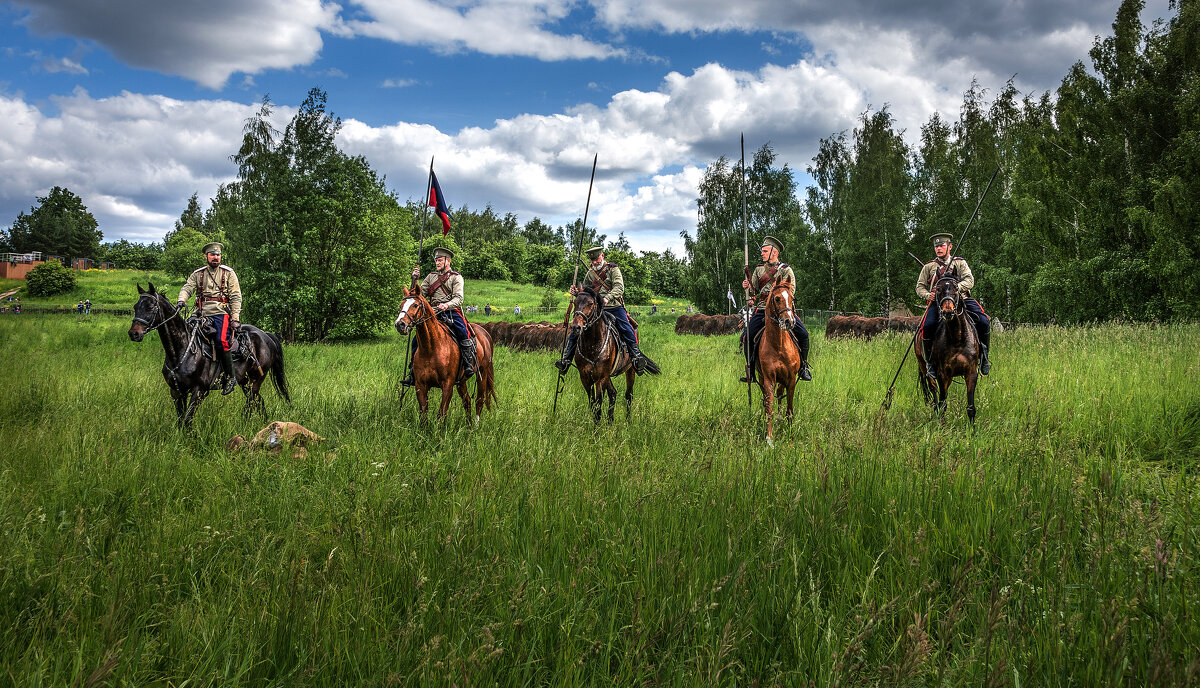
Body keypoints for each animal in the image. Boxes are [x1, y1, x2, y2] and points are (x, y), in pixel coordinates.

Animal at [128, 279, 290, 425]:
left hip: (255, 381)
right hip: (244, 381)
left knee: (252, 401)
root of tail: (265, 335)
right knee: (257, 401)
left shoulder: (199, 391)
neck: (181, 351)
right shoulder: (176, 392)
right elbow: (181, 421)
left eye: (150, 307)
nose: (133, 333)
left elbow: (187, 420)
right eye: (136, 307)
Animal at [393, 285, 496, 425]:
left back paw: (475, 425)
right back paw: (469, 426)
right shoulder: (420, 386)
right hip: (461, 381)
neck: (431, 348)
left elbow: (441, 414)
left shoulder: (447, 385)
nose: (400, 324)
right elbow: (423, 415)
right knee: (467, 401)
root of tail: (485, 334)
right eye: (401, 305)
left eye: (415, 305)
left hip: (482, 373)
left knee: (479, 400)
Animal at [568, 285, 643, 425]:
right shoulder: (585, 377)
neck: (592, 344)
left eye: (590, 303)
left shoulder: (601, 378)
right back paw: (610, 421)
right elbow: (593, 404)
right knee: (613, 393)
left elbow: (598, 405)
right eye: (575, 303)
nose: (575, 327)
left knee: (629, 395)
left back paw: (628, 422)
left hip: (630, 370)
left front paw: (597, 429)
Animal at [748, 274, 806, 444]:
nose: (789, 321)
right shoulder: (768, 379)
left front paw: (791, 437)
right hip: (762, 378)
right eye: (777, 298)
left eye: (791, 298)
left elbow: (789, 410)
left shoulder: (791, 379)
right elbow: (769, 409)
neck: (779, 345)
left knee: (780, 394)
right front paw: (769, 438)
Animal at [912, 274, 979, 425]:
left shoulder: (971, 372)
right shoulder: (943, 374)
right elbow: (943, 404)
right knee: (933, 389)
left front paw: (973, 430)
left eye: (956, 288)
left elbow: (971, 407)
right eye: (938, 289)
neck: (957, 338)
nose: (948, 311)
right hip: (923, 365)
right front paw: (941, 427)